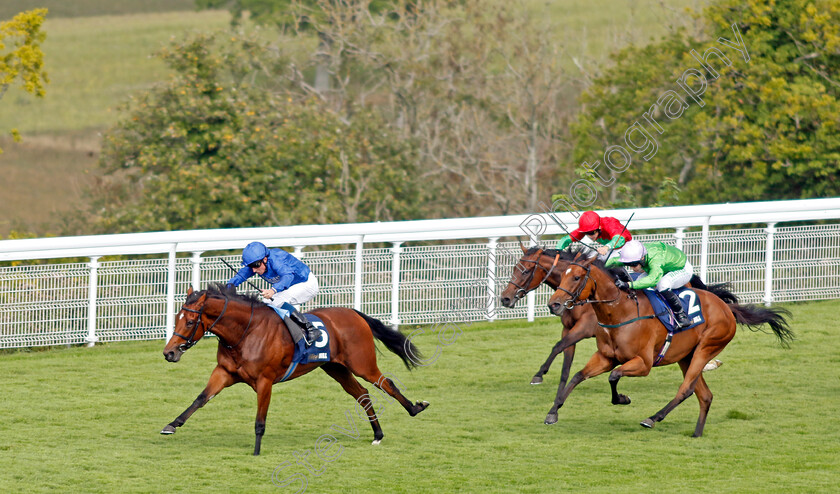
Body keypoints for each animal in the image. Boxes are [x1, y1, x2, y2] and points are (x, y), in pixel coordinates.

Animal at [162, 284, 430, 454]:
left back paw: (415, 408)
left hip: (362, 364)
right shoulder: (224, 373)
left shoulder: (265, 381)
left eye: (189, 321)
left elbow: (260, 420)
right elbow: (200, 398)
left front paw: (257, 451)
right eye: (176, 318)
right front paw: (172, 425)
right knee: (362, 394)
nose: (169, 353)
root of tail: (354, 313)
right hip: (336, 368)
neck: (245, 332)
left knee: (387, 384)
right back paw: (377, 434)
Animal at [502, 245, 740, 388]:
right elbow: (565, 355)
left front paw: (538, 375)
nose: (505, 298)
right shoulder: (568, 328)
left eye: (525, 271)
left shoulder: (583, 328)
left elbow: (557, 347)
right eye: (514, 268)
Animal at [540, 255, 792, 436]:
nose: (554, 304)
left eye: (576, 278)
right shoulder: (605, 357)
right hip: (686, 356)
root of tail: (726, 308)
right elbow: (577, 376)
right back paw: (696, 433)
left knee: (687, 389)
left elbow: (613, 376)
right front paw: (553, 413)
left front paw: (622, 398)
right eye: (562, 275)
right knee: (705, 395)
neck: (621, 311)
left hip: (706, 348)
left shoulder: (643, 363)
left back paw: (652, 418)